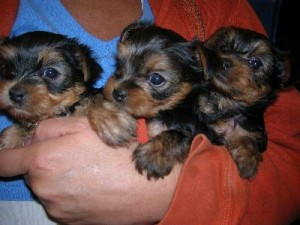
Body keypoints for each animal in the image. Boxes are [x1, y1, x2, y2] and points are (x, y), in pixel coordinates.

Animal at [0, 30, 134, 149]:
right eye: (7, 69)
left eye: (50, 72)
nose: (14, 93)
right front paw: (8, 137)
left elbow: (94, 100)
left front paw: (110, 120)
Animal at [103, 21, 204, 179]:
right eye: (120, 64)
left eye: (156, 79)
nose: (117, 93)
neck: (165, 110)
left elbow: (178, 134)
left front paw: (153, 155)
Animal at [196, 26, 288, 178]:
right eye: (224, 48)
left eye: (255, 63)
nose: (223, 62)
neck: (226, 99)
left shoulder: (249, 128)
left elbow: (246, 138)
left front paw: (248, 162)